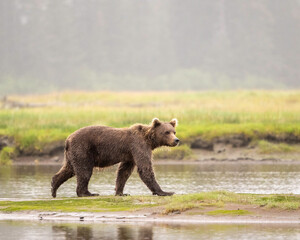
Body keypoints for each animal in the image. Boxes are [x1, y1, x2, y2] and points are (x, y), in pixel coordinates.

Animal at [50, 117, 179, 198]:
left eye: (174, 131)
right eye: (166, 132)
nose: (176, 140)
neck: (150, 140)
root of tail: (68, 139)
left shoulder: (130, 154)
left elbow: (124, 171)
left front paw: (121, 192)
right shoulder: (138, 146)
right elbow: (145, 168)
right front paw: (165, 191)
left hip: (72, 154)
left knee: (69, 169)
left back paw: (54, 188)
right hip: (83, 149)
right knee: (84, 171)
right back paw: (87, 193)